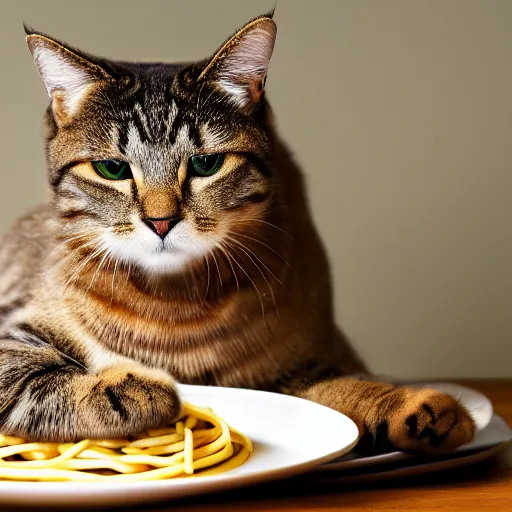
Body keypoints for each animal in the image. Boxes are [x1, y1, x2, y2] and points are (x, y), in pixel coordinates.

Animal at [0, 11, 474, 452]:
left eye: (206, 164)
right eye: (112, 169)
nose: (160, 222)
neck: (176, 309)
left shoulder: (303, 362)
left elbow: (339, 386)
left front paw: (412, 405)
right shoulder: (13, 322)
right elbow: (28, 374)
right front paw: (133, 388)